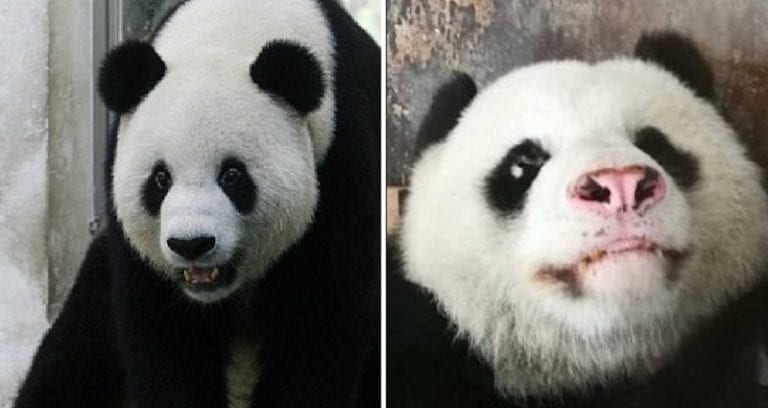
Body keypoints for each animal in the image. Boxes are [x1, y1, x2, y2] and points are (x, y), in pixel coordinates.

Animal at [14, 1, 379, 407]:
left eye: (232, 175)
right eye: (160, 179)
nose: (191, 245)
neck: (231, 32)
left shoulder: (346, 159)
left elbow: (320, 319)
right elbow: (167, 334)